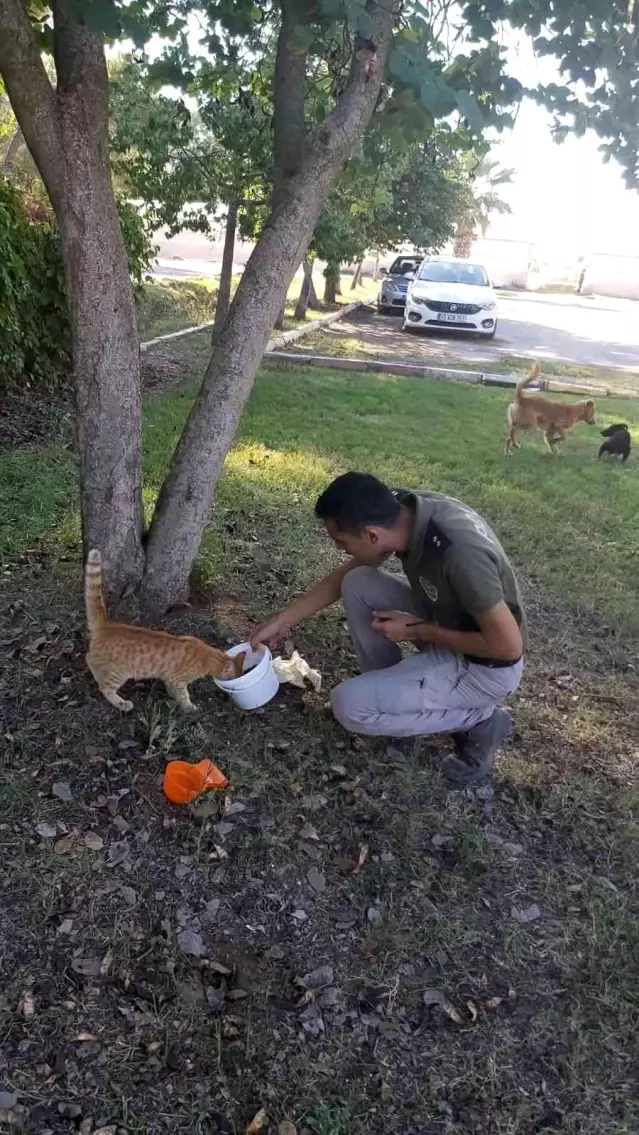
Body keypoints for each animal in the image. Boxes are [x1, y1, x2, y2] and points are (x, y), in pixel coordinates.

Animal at [85, 547, 245, 708]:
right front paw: (189, 708)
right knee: (105, 687)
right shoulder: (179, 679)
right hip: (119, 673)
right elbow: (184, 695)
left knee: (89, 659)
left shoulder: (170, 678)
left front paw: (173, 697)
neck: (205, 655)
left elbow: (172, 689)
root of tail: (106, 624)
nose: (234, 686)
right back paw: (122, 703)